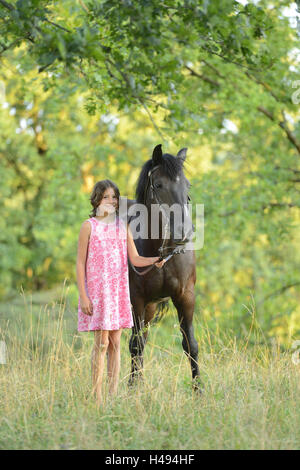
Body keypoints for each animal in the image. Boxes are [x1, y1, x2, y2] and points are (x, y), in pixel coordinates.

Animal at [125, 144, 203, 392]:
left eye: (187, 185)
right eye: (158, 185)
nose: (183, 232)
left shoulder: (185, 296)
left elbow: (190, 344)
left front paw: (199, 390)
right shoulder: (136, 299)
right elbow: (135, 345)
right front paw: (132, 389)